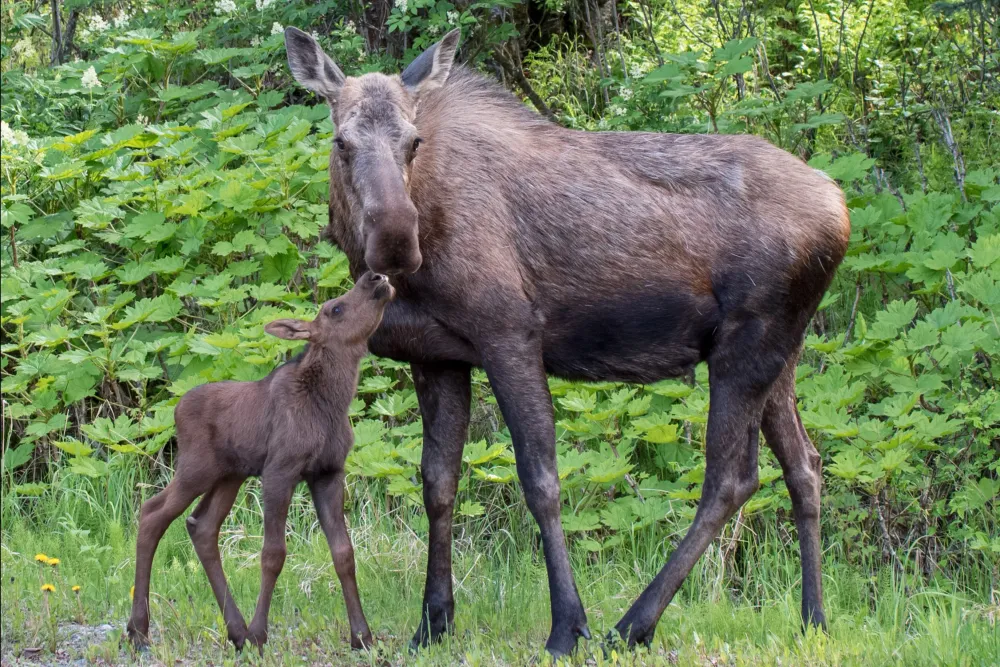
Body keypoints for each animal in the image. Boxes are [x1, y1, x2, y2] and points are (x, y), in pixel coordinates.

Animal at [126, 271, 395, 652]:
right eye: (336, 308)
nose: (375, 276)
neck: (332, 403)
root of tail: (175, 410)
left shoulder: (328, 473)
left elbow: (344, 552)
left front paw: (362, 635)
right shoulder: (279, 471)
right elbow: (273, 554)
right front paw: (259, 632)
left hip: (229, 476)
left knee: (201, 526)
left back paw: (234, 630)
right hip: (196, 469)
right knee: (151, 513)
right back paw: (139, 629)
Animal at [284, 26, 849, 656]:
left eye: (413, 141)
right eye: (341, 141)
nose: (395, 240)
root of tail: (841, 205)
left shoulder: (509, 333)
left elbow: (541, 480)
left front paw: (566, 627)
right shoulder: (438, 357)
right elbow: (438, 484)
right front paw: (433, 622)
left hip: (745, 346)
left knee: (731, 477)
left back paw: (631, 625)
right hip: (782, 352)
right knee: (805, 465)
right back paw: (814, 619)